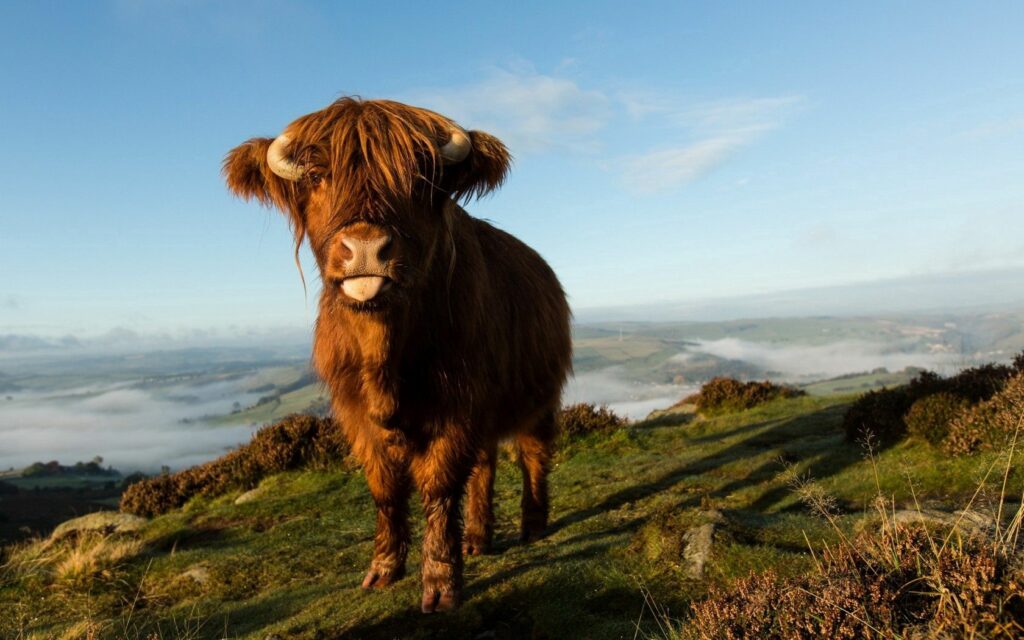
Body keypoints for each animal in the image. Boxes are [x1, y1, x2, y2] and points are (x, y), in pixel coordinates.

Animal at [223, 97, 572, 612]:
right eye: (315, 176)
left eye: (418, 181)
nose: (366, 248)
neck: (383, 354)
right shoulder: (354, 409)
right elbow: (385, 487)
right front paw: (384, 568)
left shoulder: (459, 403)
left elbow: (440, 486)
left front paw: (441, 584)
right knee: (485, 463)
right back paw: (477, 537)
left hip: (540, 396)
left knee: (532, 453)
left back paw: (531, 525)